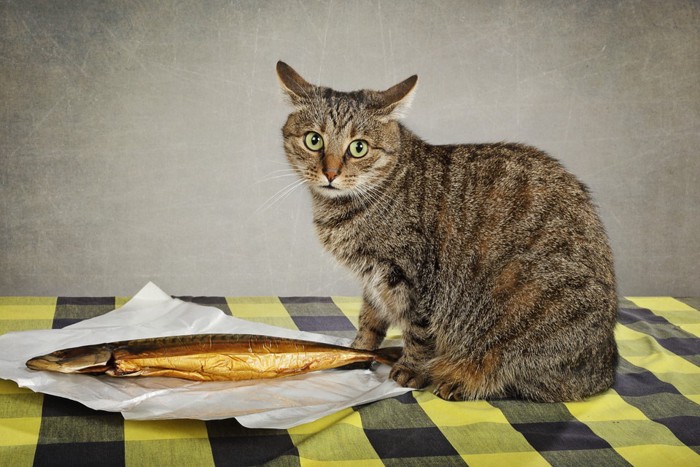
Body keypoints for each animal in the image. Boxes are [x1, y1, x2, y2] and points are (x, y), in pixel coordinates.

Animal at [276, 59, 616, 402]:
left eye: (358, 148)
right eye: (314, 140)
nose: (330, 173)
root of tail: (605, 368)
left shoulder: (414, 278)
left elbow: (418, 332)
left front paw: (410, 369)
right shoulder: (373, 280)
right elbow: (369, 320)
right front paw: (357, 354)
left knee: (520, 377)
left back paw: (460, 379)